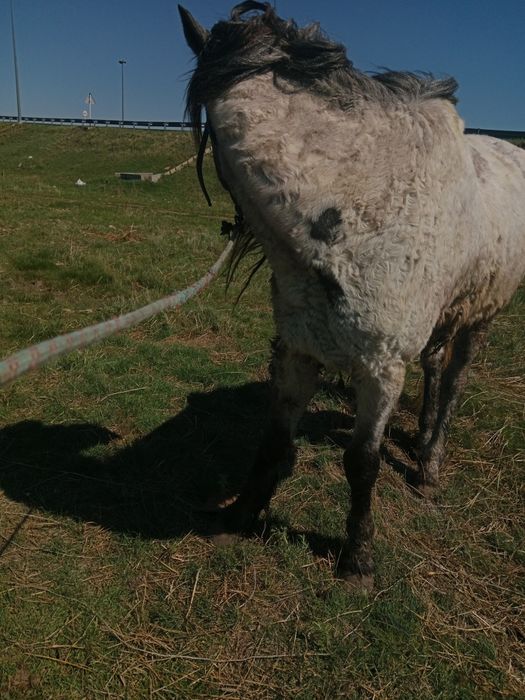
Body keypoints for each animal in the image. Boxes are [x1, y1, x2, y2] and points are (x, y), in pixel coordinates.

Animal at [179, 1, 525, 589]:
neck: (355, 216)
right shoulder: (298, 351)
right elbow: (275, 441)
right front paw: (242, 515)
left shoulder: (381, 370)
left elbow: (363, 463)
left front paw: (357, 559)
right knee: (435, 366)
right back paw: (422, 440)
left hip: (482, 314)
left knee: (455, 380)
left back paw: (430, 464)